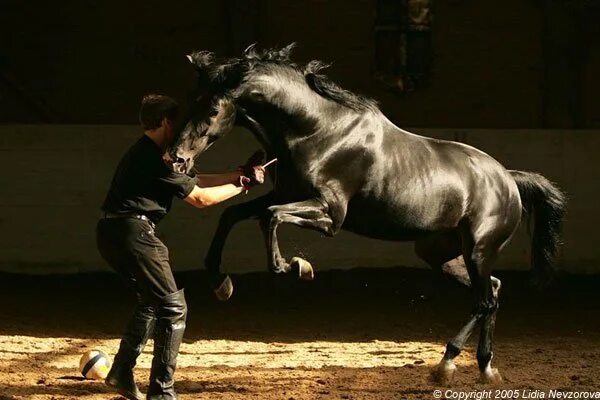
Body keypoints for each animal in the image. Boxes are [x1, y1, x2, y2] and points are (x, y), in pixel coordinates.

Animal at [170, 45, 568, 386]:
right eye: (189, 102)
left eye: (212, 110)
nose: (178, 159)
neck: (318, 131)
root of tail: (509, 180)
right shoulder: (287, 194)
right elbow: (232, 214)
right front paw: (221, 283)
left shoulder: (330, 214)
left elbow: (270, 218)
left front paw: (295, 266)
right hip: (440, 254)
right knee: (494, 292)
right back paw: (484, 368)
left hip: (478, 250)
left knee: (484, 300)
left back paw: (446, 365)